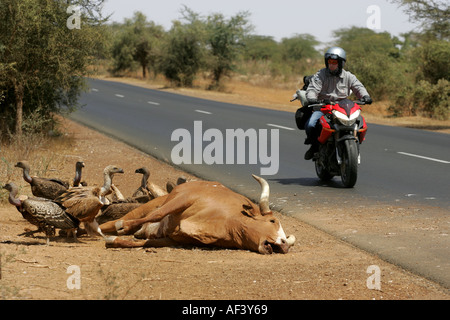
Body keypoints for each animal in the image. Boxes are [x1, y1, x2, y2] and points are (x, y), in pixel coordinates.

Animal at [103, 174, 298, 254]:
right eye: (272, 221)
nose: (284, 246)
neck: (228, 220)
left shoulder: (173, 239)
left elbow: (143, 243)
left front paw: (114, 241)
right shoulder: (183, 198)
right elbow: (158, 215)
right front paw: (121, 228)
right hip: (147, 206)